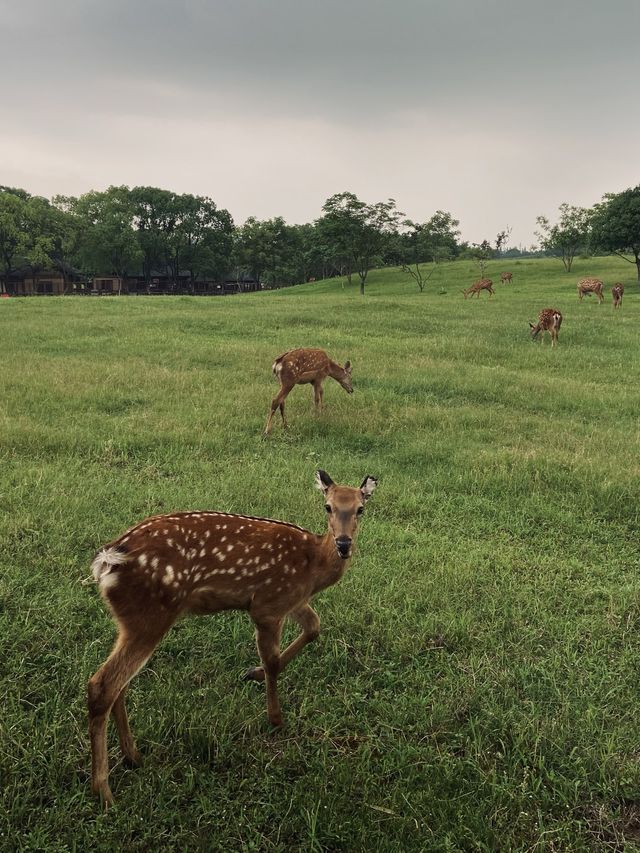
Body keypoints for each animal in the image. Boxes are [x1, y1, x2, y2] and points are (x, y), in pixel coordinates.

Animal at [85, 470, 376, 804]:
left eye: (360, 508)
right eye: (328, 506)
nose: (344, 543)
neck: (313, 564)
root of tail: (107, 562)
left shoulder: (293, 601)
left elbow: (314, 627)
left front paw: (254, 673)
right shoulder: (267, 604)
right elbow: (273, 661)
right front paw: (275, 718)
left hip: (131, 622)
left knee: (119, 684)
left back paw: (133, 756)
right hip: (149, 616)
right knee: (102, 685)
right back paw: (104, 791)